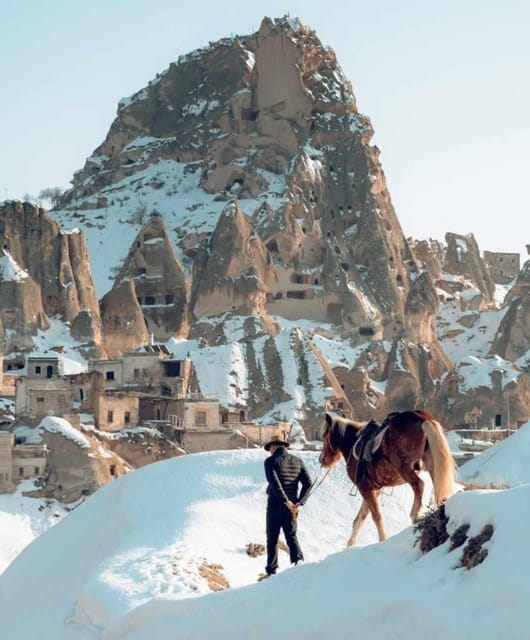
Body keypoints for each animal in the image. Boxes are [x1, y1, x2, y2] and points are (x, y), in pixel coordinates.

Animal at [320, 410, 456, 547]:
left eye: (325, 435)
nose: (322, 459)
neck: (354, 441)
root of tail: (423, 417)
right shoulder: (374, 489)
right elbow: (361, 517)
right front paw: (351, 544)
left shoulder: (365, 488)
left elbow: (376, 516)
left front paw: (382, 539)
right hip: (433, 466)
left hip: (404, 468)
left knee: (419, 484)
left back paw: (415, 516)